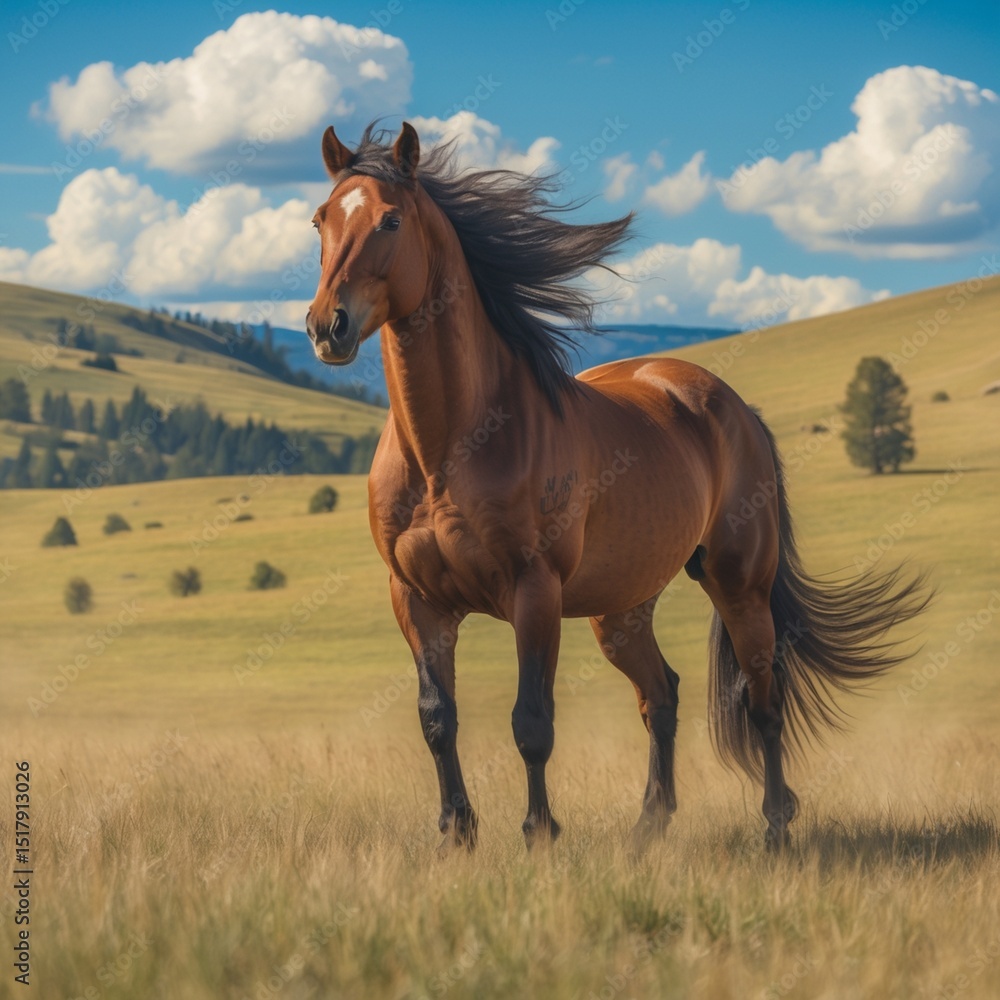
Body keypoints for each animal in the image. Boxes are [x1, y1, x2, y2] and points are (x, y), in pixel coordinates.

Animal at [305, 121, 929, 854]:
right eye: (321, 219)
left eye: (391, 220)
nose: (327, 326)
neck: (446, 452)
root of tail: (732, 406)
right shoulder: (417, 599)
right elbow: (437, 717)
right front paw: (456, 833)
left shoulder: (534, 592)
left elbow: (531, 721)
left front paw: (539, 834)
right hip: (621, 611)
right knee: (662, 695)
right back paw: (648, 827)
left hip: (740, 586)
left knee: (763, 699)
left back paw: (775, 826)